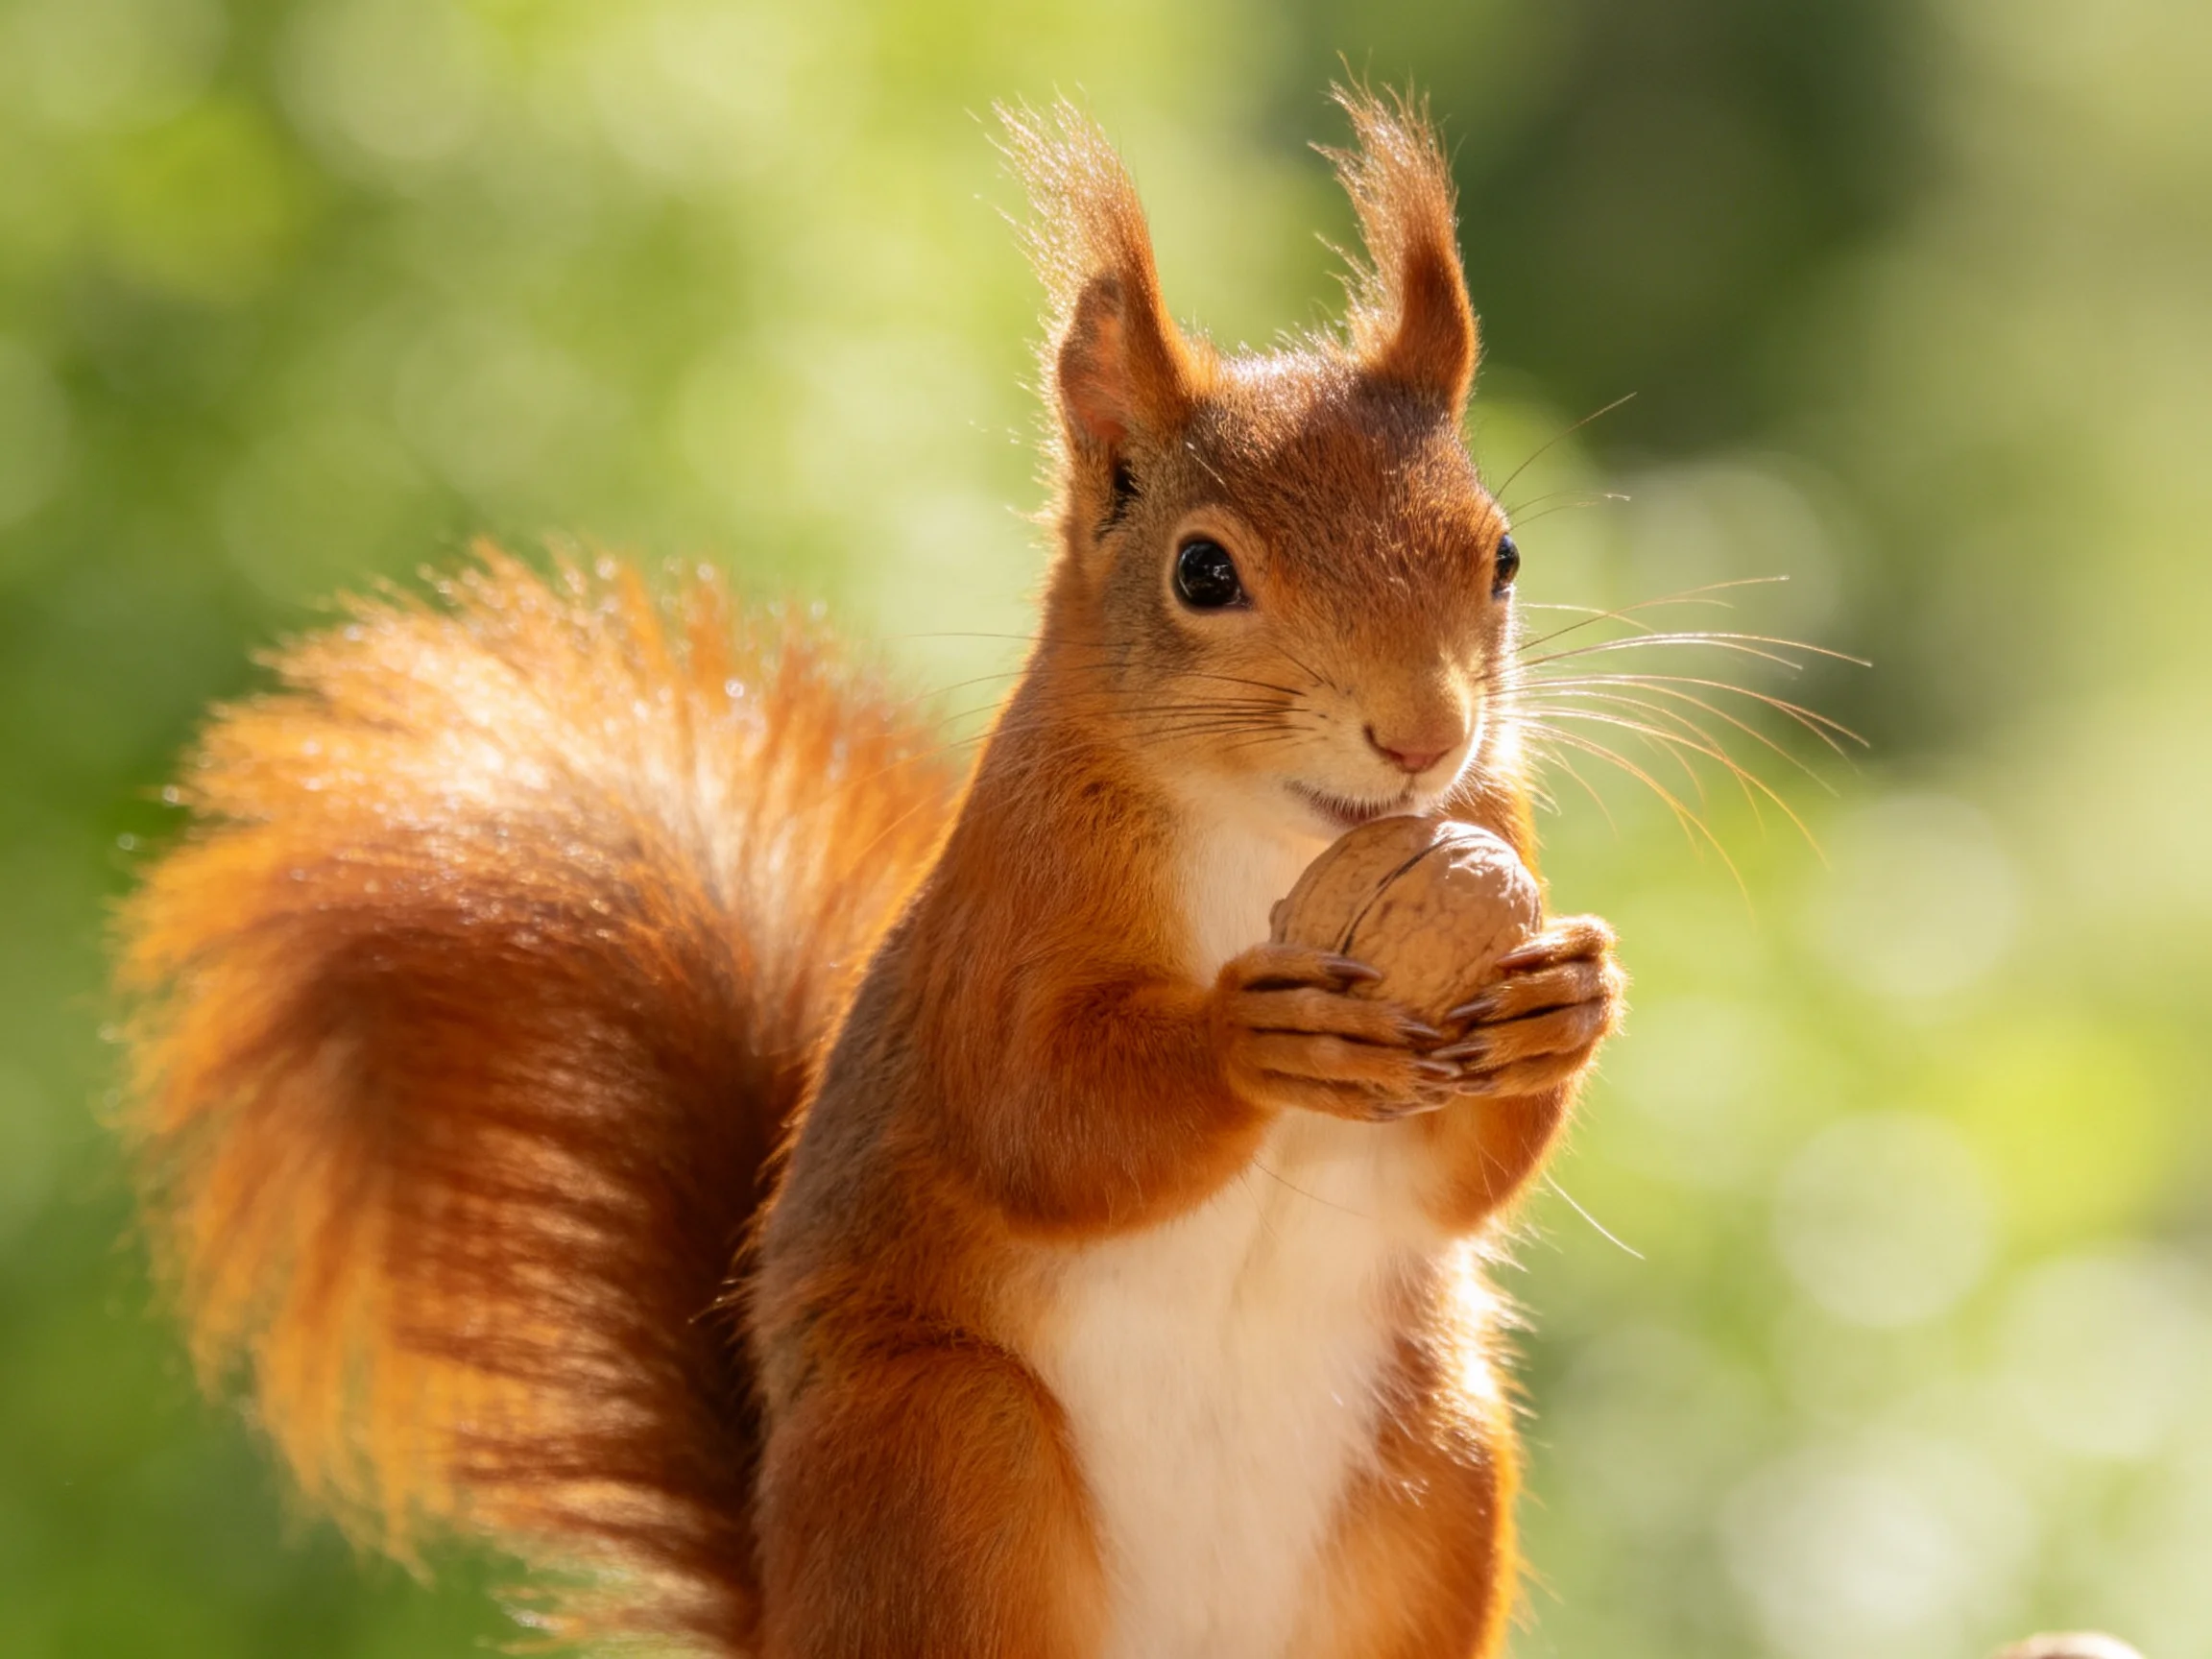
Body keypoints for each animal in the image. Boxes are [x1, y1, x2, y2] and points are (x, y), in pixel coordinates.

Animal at [114, 89, 1624, 1658]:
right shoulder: (1006, 912)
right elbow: (1034, 1116)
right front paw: (1251, 1035)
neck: (1280, 837)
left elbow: (1457, 1182)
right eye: (1204, 574)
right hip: (941, 1456)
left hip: (1436, 1466)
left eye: (1504, 554)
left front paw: (1561, 997)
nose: (1424, 735)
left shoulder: (1484, 839)